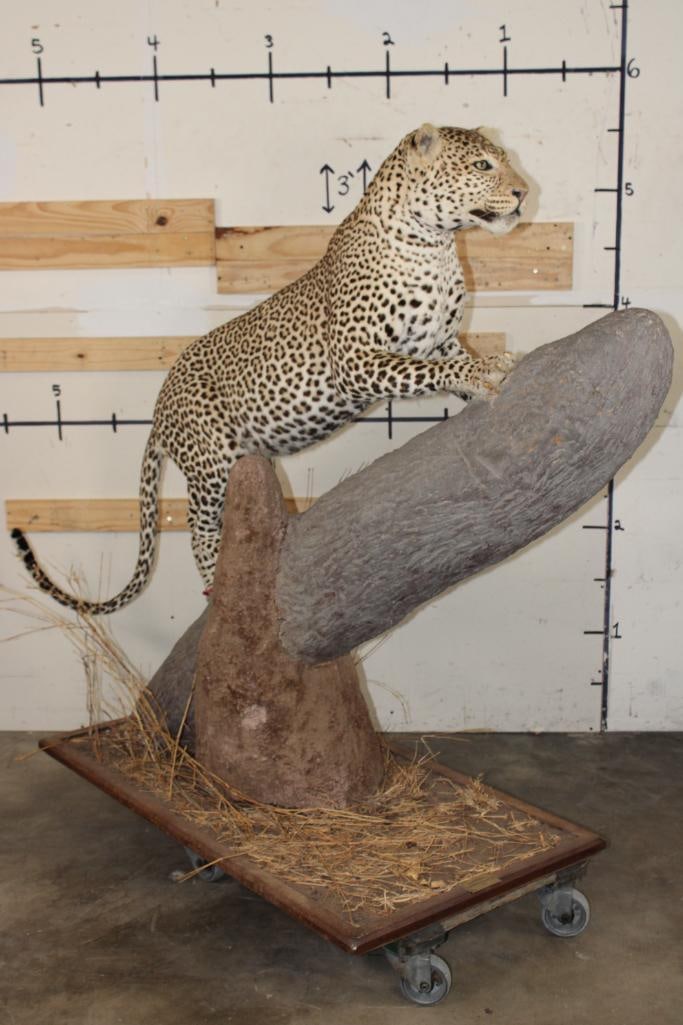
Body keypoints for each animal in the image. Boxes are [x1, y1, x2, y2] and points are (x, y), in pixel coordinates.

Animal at [12, 123, 528, 613]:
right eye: (483, 165)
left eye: (507, 161)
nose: (524, 193)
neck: (436, 245)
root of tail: (159, 408)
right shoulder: (354, 359)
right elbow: (422, 373)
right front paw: (479, 374)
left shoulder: (439, 341)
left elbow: (453, 359)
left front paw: (485, 368)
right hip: (211, 464)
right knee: (199, 526)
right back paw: (214, 584)